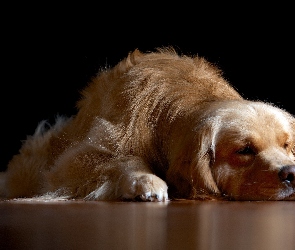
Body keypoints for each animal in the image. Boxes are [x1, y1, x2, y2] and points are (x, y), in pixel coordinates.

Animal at [0, 47, 295, 201]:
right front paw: (144, 181)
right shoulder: (75, 160)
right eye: (244, 150)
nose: (291, 173)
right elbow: (123, 159)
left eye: (287, 145)